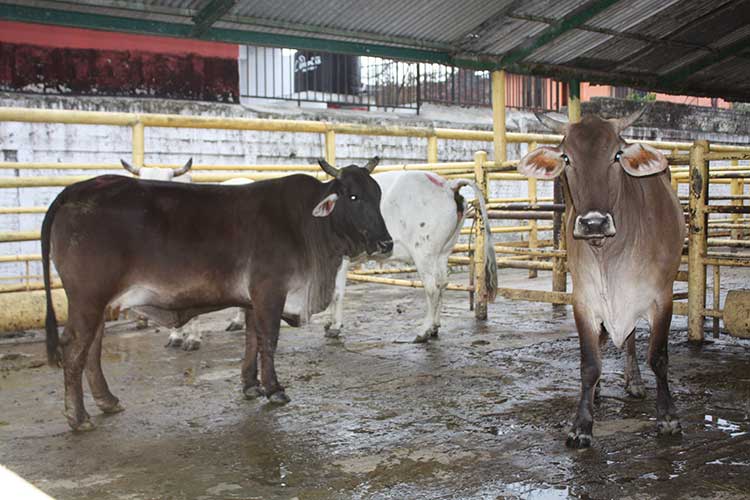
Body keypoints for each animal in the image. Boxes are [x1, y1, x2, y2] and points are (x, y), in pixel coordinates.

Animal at [41, 159, 394, 430]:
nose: (386, 243)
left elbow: (252, 338)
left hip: (99, 302)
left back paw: (107, 401)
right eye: (353, 196)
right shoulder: (270, 290)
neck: (308, 225)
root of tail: (79, 188)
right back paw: (78, 417)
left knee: (92, 347)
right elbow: (269, 339)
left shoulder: (253, 298)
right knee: (75, 347)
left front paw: (251, 385)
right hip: (88, 297)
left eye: (378, 196)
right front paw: (274, 388)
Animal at [326, 170, 496, 342]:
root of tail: (448, 185)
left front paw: (334, 326)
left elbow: (336, 291)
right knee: (442, 283)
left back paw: (423, 331)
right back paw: (434, 327)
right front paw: (329, 322)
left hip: (423, 252)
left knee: (432, 288)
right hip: (443, 251)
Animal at [516, 109, 688, 450]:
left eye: (617, 155)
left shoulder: (662, 297)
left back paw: (635, 383)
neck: (608, 253)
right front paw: (581, 425)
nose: (593, 223)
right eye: (567, 157)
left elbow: (659, 357)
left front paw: (668, 417)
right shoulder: (584, 300)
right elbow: (590, 363)